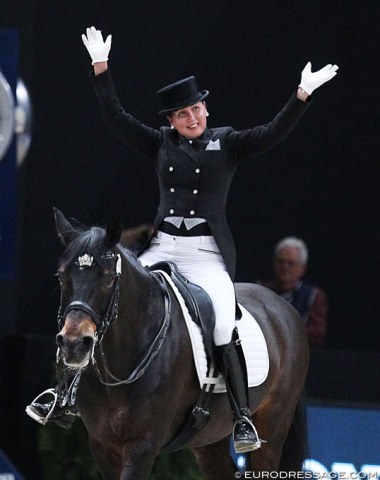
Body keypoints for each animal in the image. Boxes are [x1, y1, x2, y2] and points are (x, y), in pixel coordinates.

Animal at [52, 209, 308, 480]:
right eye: (61, 276)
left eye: (109, 278)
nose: (74, 344)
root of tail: (283, 306)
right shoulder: (103, 447)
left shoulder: (142, 445)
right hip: (209, 440)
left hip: (273, 428)